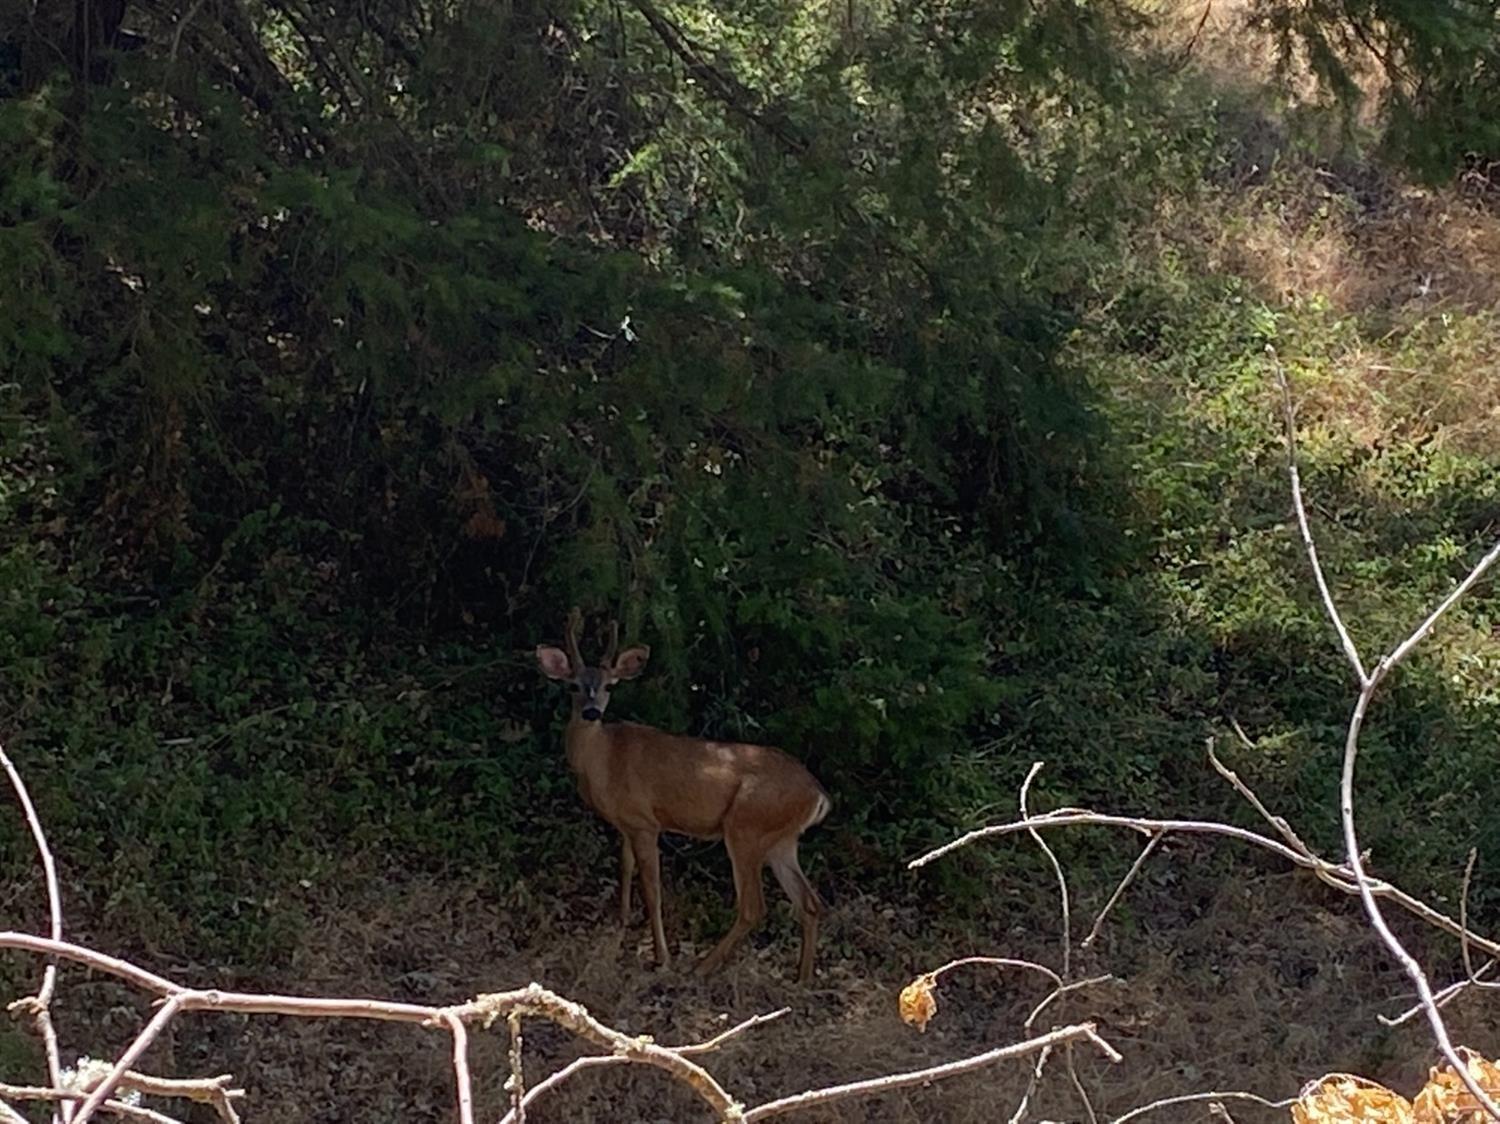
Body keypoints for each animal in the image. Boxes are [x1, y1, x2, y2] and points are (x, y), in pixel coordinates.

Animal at [534, 606, 834, 984]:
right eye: (573, 685)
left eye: (609, 685)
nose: (591, 712)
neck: (604, 760)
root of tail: (817, 794)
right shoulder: (626, 824)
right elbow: (625, 868)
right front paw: (621, 925)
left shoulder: (646, 822)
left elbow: (652, 889)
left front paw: (661, 956)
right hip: (782, 839)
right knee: (809, 902)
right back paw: (802, 979)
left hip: (746, 827)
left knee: (754, 907)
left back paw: (702, 966)